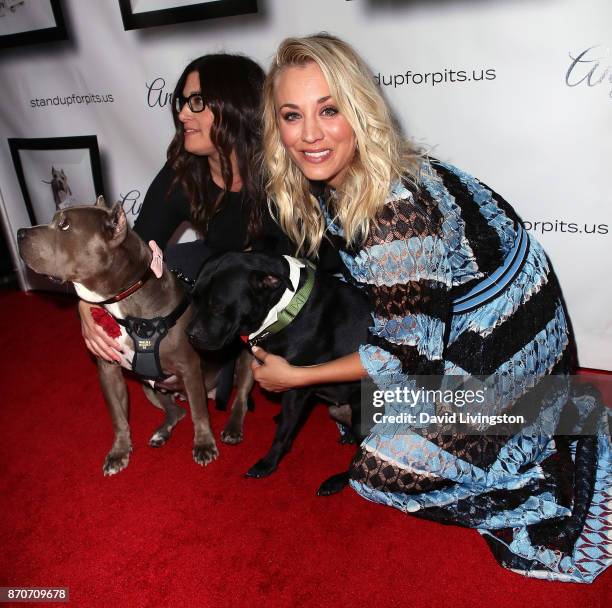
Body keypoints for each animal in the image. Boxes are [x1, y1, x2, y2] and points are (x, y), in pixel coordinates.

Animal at [17, 197, 253, 478]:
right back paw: (162, 433)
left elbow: (199, 413)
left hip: (245, 364)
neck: (123, 298)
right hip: (148, 386)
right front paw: (119, 452)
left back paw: (233, 428)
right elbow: (118, 416)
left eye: (65, 225)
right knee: (176, 412)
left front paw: (204, 444)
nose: (19, 233)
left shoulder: (189, 367)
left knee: (236, 399)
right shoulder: (108, 371)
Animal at [188, 252, 368, 494]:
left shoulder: (296, 386)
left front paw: (268, 463)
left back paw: (336, 481)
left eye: (217, 306)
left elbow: (282, 434)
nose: (189, 334)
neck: (285, 309)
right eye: (193, 299)